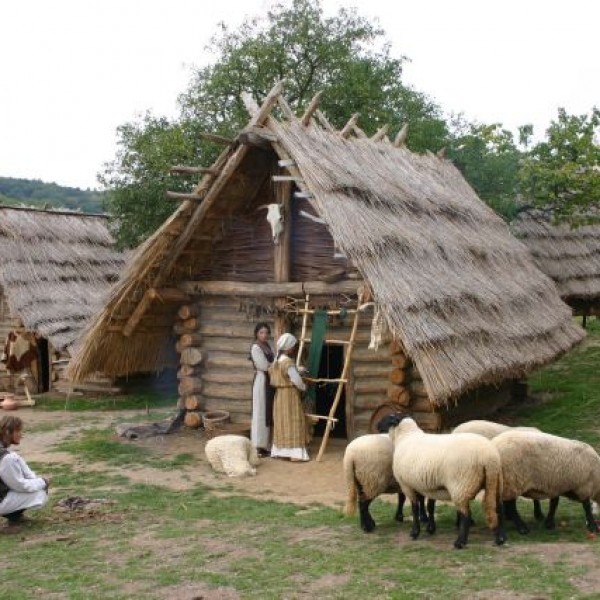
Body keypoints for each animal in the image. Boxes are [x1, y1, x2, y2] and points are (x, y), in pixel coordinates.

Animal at [382, 412, 504, 548]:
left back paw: (460, 542)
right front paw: (430, 528)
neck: (405, 437)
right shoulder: (428, 485)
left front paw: (415, 532)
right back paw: (500, 538)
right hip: (495, 482)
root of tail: (489, 457)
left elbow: (415, 508)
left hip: (461, 485)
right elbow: (429, 506)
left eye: (387, 418)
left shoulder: (406, 485)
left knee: (466, 515)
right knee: (497, 508)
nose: (377, 425)